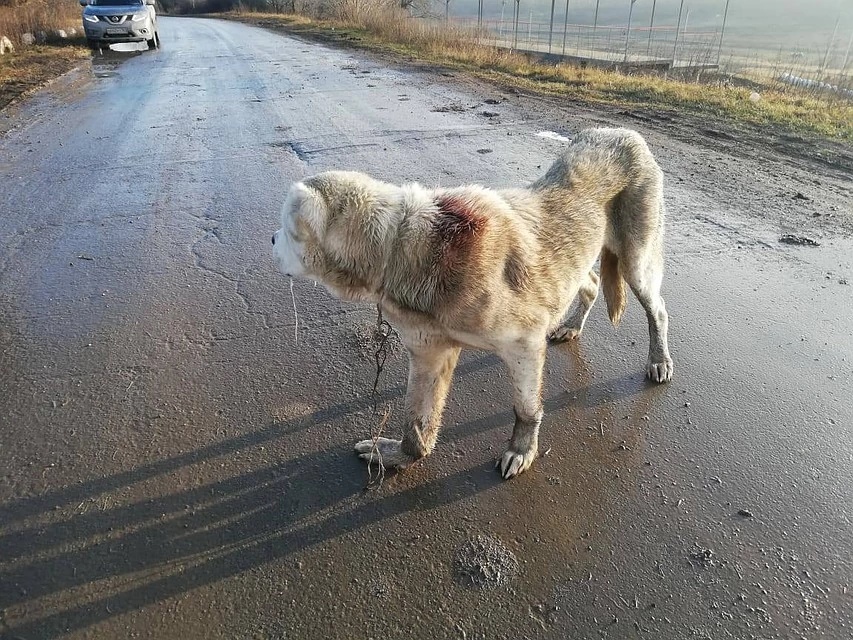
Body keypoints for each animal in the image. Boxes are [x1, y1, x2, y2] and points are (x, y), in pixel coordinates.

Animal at [272, 127, 672, 478]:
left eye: (287, 230)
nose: (271, 240)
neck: (407, 246)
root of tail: (623, 132)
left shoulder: (524, 344)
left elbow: (526, 408)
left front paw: (521, 451)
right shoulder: (429, 353)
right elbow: (416, 421)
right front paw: (397, 455)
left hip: (636, 262)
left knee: (658, 310)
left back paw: (659, 361)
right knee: (588, 283)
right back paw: (571, 325)